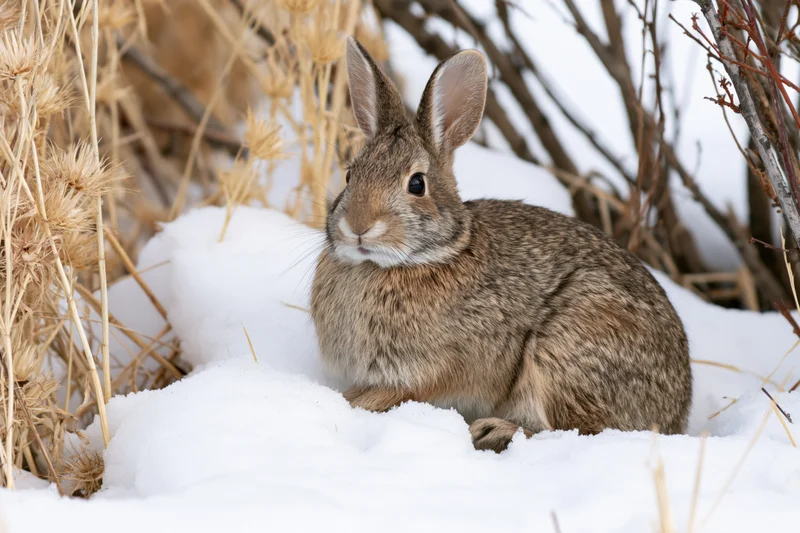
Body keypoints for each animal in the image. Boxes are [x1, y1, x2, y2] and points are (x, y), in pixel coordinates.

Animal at [310, 37, 692, 453]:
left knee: (580, 431)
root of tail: (678, 411)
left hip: (567, 348)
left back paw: (493, 431)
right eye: (350, 174)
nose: (358, 226)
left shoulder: (422, 372)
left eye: (416, 184)